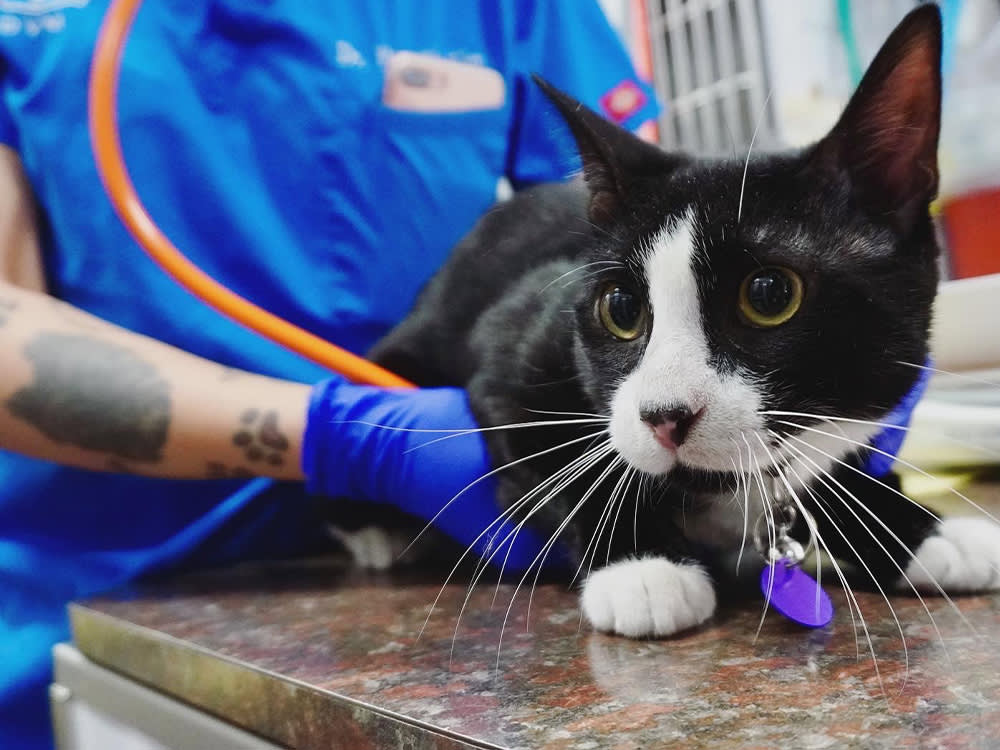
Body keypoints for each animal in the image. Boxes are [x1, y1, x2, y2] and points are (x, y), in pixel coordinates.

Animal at [366, 5, 1000, 640]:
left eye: (769, 295)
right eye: (620, 309)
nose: (663, 415)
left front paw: (919, 527)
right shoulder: (515, 342)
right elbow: (558, 449)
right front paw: (642, 566)